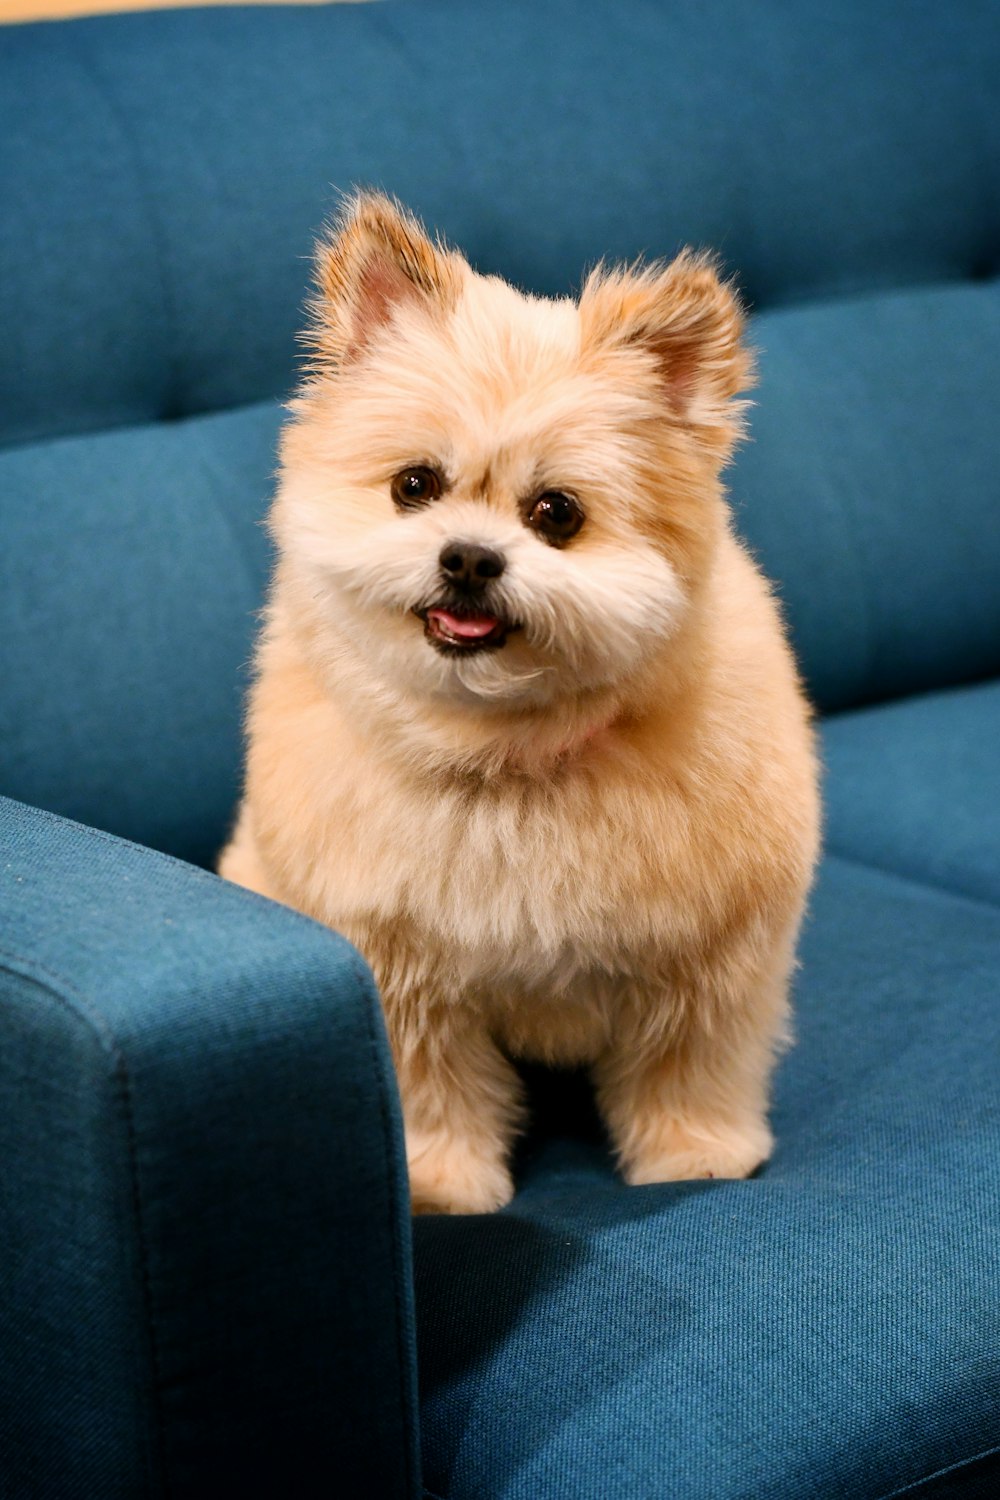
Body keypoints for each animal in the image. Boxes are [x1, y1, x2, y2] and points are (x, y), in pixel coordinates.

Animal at [220, 190, 821, 1218]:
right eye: (415, 485)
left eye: (556, 514)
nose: (468, 557)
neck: (509, 759)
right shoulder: (401, 977)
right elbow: (428, 1088)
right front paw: (440, 1182)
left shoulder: (712, 957)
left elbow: (691, 1062)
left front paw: (694, 1153)